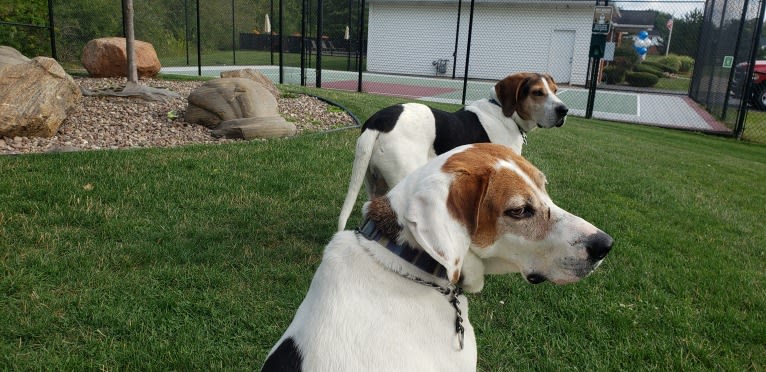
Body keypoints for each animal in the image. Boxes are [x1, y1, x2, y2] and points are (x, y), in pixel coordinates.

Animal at [338, 71, 568, 231]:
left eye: (556, 90)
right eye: (537, 92)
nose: (564, 110)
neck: (505, 113)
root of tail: (378, 121)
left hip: (373, 182)